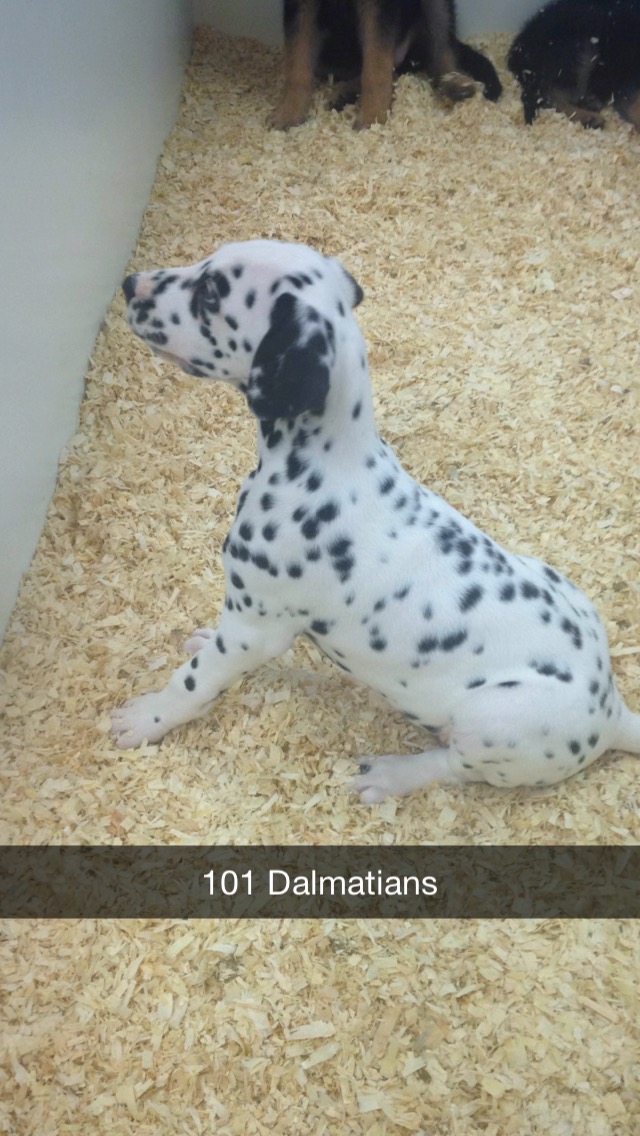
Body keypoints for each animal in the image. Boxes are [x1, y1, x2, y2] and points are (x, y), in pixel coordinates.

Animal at [112, 239, 640, 803]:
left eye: (210, 294)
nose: (129, 284)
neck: (326, 463)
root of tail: (612, 712)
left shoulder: (255, 628)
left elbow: (192, 681)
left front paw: (147, 718)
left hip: (494, 720)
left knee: (454, 766)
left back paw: (390, 775)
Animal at [268, 0, 502, 130]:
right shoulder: (299, 5)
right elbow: (297, 65)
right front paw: (288, 113)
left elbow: (376, 68)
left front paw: (373, 117)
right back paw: (346, 92)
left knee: (440, 50)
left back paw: (455, 83)